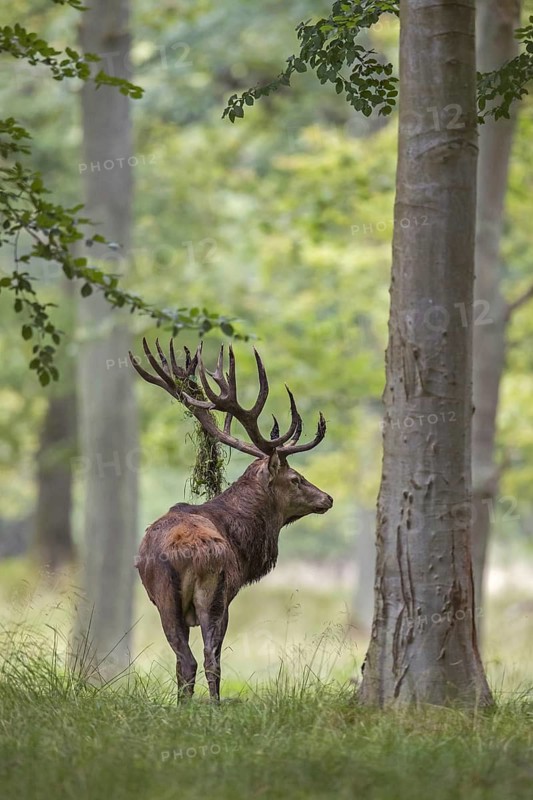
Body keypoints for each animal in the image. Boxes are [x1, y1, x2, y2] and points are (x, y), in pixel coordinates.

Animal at [129, 339, 333, 702]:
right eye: (296, 478)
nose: (328, 498)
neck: (243, 544)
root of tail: (189, 552)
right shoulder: (229, 592)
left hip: (180, 597)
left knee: (190, 660)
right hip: (214, 594)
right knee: (205, 659)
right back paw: (211, 706)